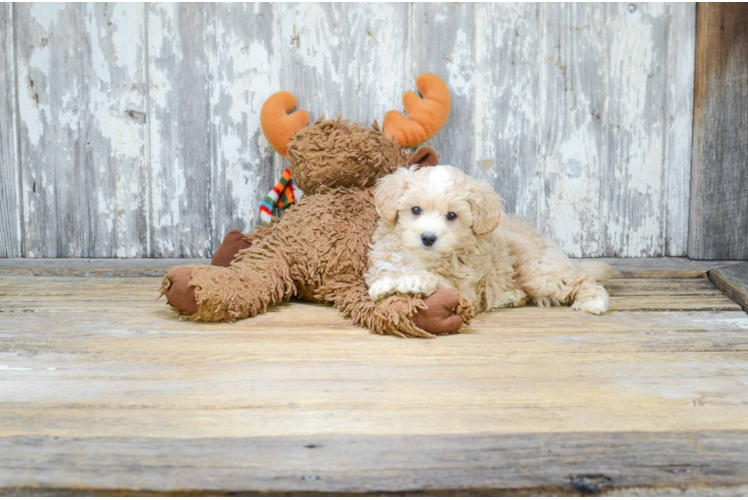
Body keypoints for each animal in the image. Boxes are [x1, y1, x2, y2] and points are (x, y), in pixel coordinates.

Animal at [364, 165, 612, 316]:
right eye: (415, 210)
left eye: (451, 215)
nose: (428, 237)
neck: (423, 258)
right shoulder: (383, 263)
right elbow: (384, 277)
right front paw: (385, 286)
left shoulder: (464, 292)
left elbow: (438, 279)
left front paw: (413, 280)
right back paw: (509, 297)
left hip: (537, 273)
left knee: (579, 280)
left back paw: (594, 301)